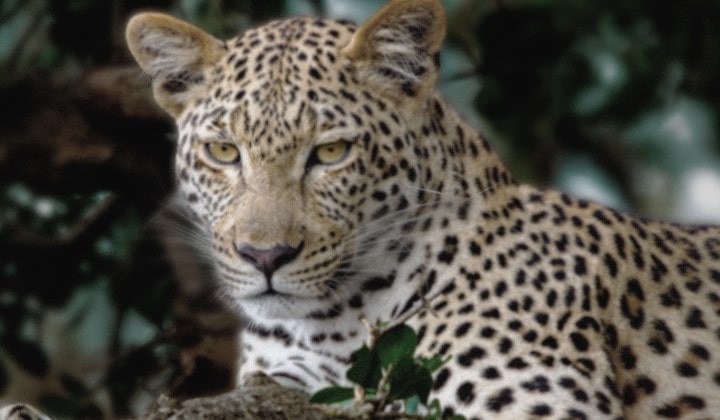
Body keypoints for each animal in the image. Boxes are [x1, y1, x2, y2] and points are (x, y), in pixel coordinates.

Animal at [122, 0, 720, 418]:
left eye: (331, 153)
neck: (332, 323)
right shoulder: (288, 373)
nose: (263, 257)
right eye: (224, 152)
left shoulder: (541, 399)